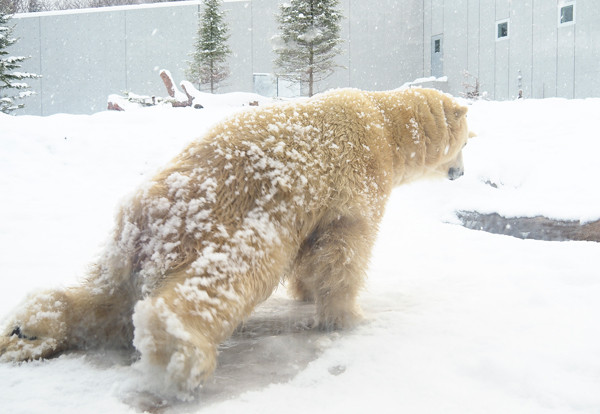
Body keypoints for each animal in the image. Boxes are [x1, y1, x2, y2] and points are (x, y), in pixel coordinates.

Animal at [0, 86, 468, 398]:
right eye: (467, 141)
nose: (461, 173)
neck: (384, 122)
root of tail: (148, 213)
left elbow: (311, 256)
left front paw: (305, 294)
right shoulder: (357, 184)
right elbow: (342, 254)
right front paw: (348, 318)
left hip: (128, 247)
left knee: (107, 299)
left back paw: (28, 330)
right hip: (229, 224)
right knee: (221, 278)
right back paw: (178, 352)